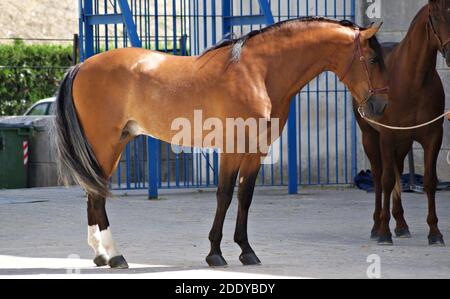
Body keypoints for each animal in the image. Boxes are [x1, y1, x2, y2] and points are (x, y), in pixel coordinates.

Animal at [54, 17, 388, 268]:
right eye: (373, 59)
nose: (381, 106)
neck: (258, 72)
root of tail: (81, 67)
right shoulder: (232, 147)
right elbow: (225, 196)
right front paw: (215, 253)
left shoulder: (256, 150)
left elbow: (245, 197)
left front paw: (246, 250)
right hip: (105, 144)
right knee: (97, 195)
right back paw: (115, 256)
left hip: (112, 145)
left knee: (93, 193)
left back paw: (100, 254)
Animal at [356, 0, 450, 247]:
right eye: (435, 17)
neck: (414, 79)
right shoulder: (387, 136)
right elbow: (387, 180)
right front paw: (383, 233)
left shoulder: (433, 136)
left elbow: (429, 182)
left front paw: (435, 233)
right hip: (370, 137)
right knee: (379, 177)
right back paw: (377, 226)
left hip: (404, 141)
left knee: (397, 170)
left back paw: (401, 225)